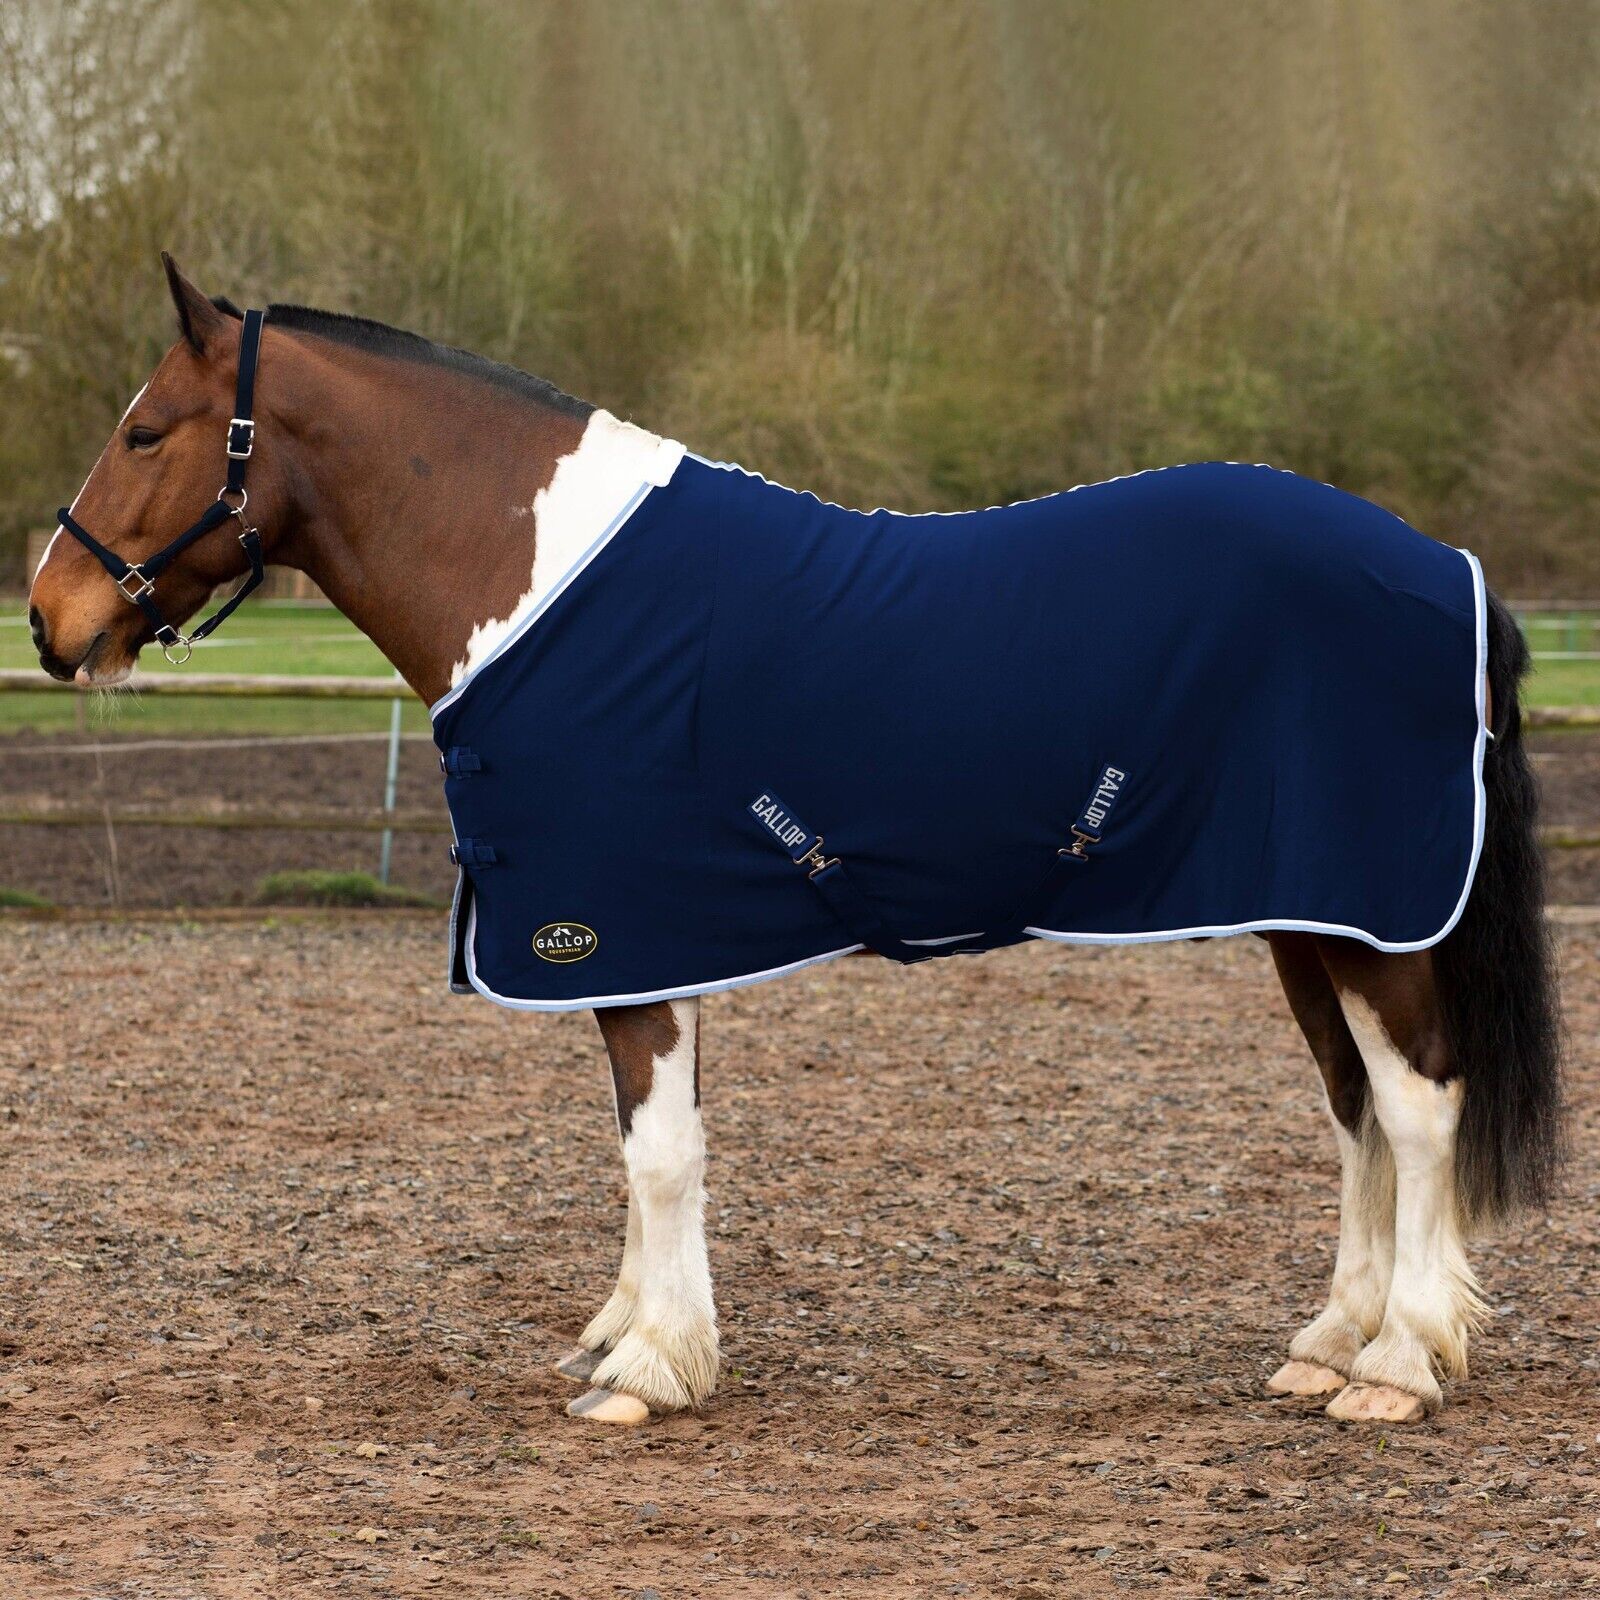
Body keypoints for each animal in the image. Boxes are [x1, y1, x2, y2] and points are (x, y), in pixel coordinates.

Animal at [28, 256, 1563, 1429]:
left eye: (149, 431)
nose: (50, 619)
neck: (538, 586)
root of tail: (1446, 571)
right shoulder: (657, 937)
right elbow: (658, 1145)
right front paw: (640, 1336)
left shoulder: (621, 931)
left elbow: (657, 1151)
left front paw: (645, 1371)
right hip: (1311, 914)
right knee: (1354, 1108)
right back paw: (1327, 1347)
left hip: (1369, 917)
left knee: (1417, 1106)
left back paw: (1401, 1364)